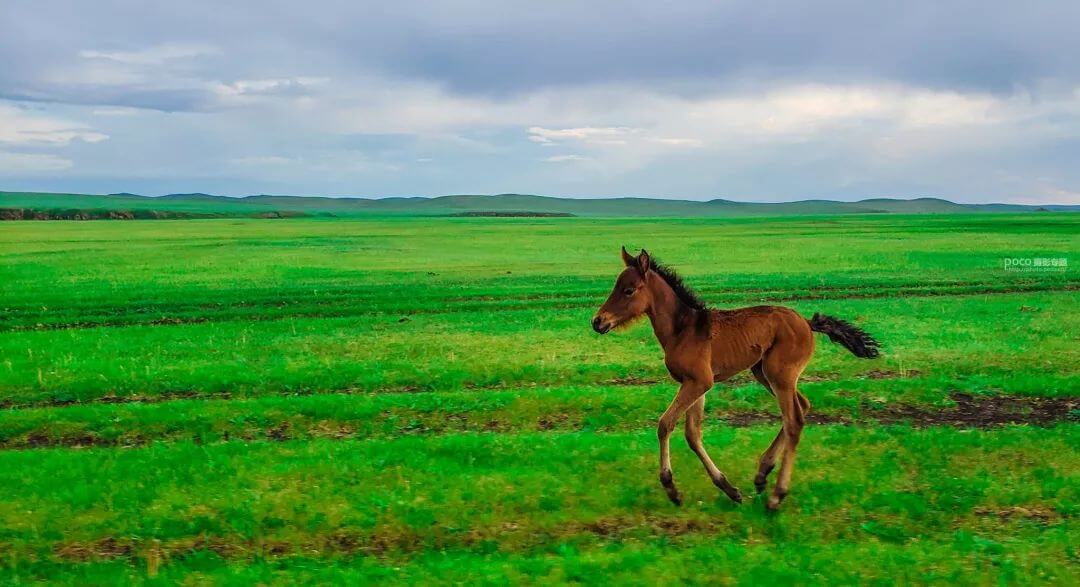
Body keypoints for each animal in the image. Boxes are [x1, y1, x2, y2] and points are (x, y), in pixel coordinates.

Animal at [596, 248, 881, 509]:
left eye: (629, 290)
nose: (597, 322)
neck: (683, 329)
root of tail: (806, 322)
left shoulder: (699, 382)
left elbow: (665, 424)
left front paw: (671, 488)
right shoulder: (695, 384)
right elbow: (692, 434)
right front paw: (729, 489)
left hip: (780, 375)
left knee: (794, 421)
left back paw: (776, 495)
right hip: (763, 373)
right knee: (803, 406)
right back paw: (761, 474)